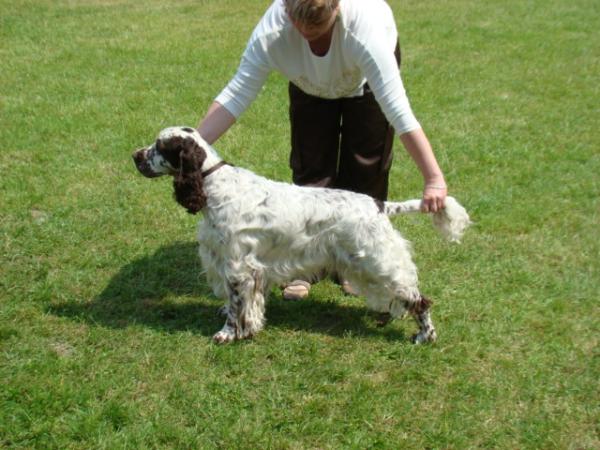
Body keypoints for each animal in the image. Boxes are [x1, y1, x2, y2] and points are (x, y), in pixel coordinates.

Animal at [130, 126, 468, 344]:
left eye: (159, 146)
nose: (135, 155)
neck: (215, 184)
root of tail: (378, 204)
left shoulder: (238, 266)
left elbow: (238, 304)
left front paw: (228, 333)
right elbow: (240, 302)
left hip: (378, 260)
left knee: (419, 299)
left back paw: (425, 335)